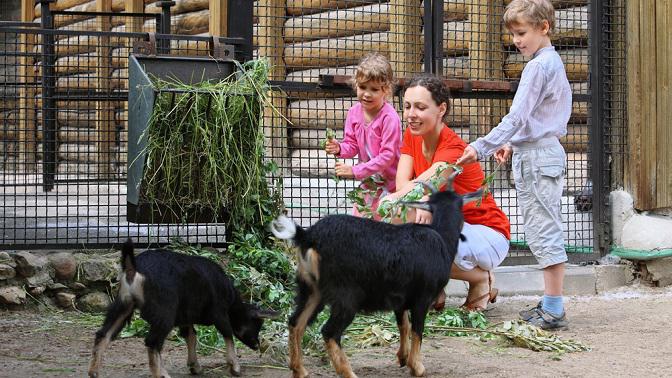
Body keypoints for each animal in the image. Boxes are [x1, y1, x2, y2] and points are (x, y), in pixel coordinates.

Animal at [88, 241, 276, 376]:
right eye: (256, 324)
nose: (257, 345)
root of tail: (134, 269)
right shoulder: (219, 313)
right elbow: (228, 334)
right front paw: (235, 367)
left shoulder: (186, 317)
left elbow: (191, 336)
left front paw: (195, 367)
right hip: (165, 313)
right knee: (152, 342)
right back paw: (161, 374)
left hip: (123, 305)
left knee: (104, 334)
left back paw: (94, 372)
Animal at [270, 175, 484, 378]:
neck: (442, 240)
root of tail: (308, 237)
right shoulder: (422, 298)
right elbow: (417, 330)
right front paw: (417, 367)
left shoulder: (400, 299)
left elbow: (403, 325)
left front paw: (402, 358)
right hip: (345, 296)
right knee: (329, 332)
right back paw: (348, 373)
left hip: (311, 289)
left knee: (296, 322)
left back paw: (299, 370)